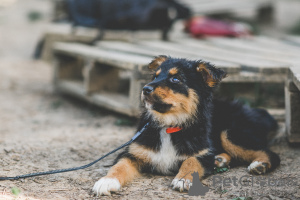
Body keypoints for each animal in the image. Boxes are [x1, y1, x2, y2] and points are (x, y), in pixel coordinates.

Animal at [92, 55, 278, 195]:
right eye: (155, 76)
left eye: (175, 79)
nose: (145, 89)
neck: (169, 124)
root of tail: (256, 111)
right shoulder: (132, 152)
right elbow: (119, 166)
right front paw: (106, 181)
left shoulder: (201, 153)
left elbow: (191, 161)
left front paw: (183, 179)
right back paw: (220, 160)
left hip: (229, 133)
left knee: (271, 153)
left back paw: (259, 165)